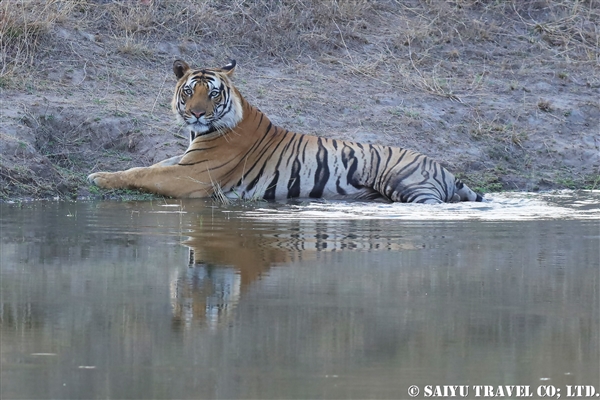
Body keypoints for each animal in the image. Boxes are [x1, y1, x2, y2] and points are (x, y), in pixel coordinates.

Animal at [88, 60, 482, 203]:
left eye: (212, 93)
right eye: (189, 91)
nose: (197, 113)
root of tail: (444, 168)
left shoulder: (191, 177)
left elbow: (144, 173)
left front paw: (98, 177)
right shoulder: (183, 162)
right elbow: (147, 165)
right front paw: (102, 172)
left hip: (407, 184)